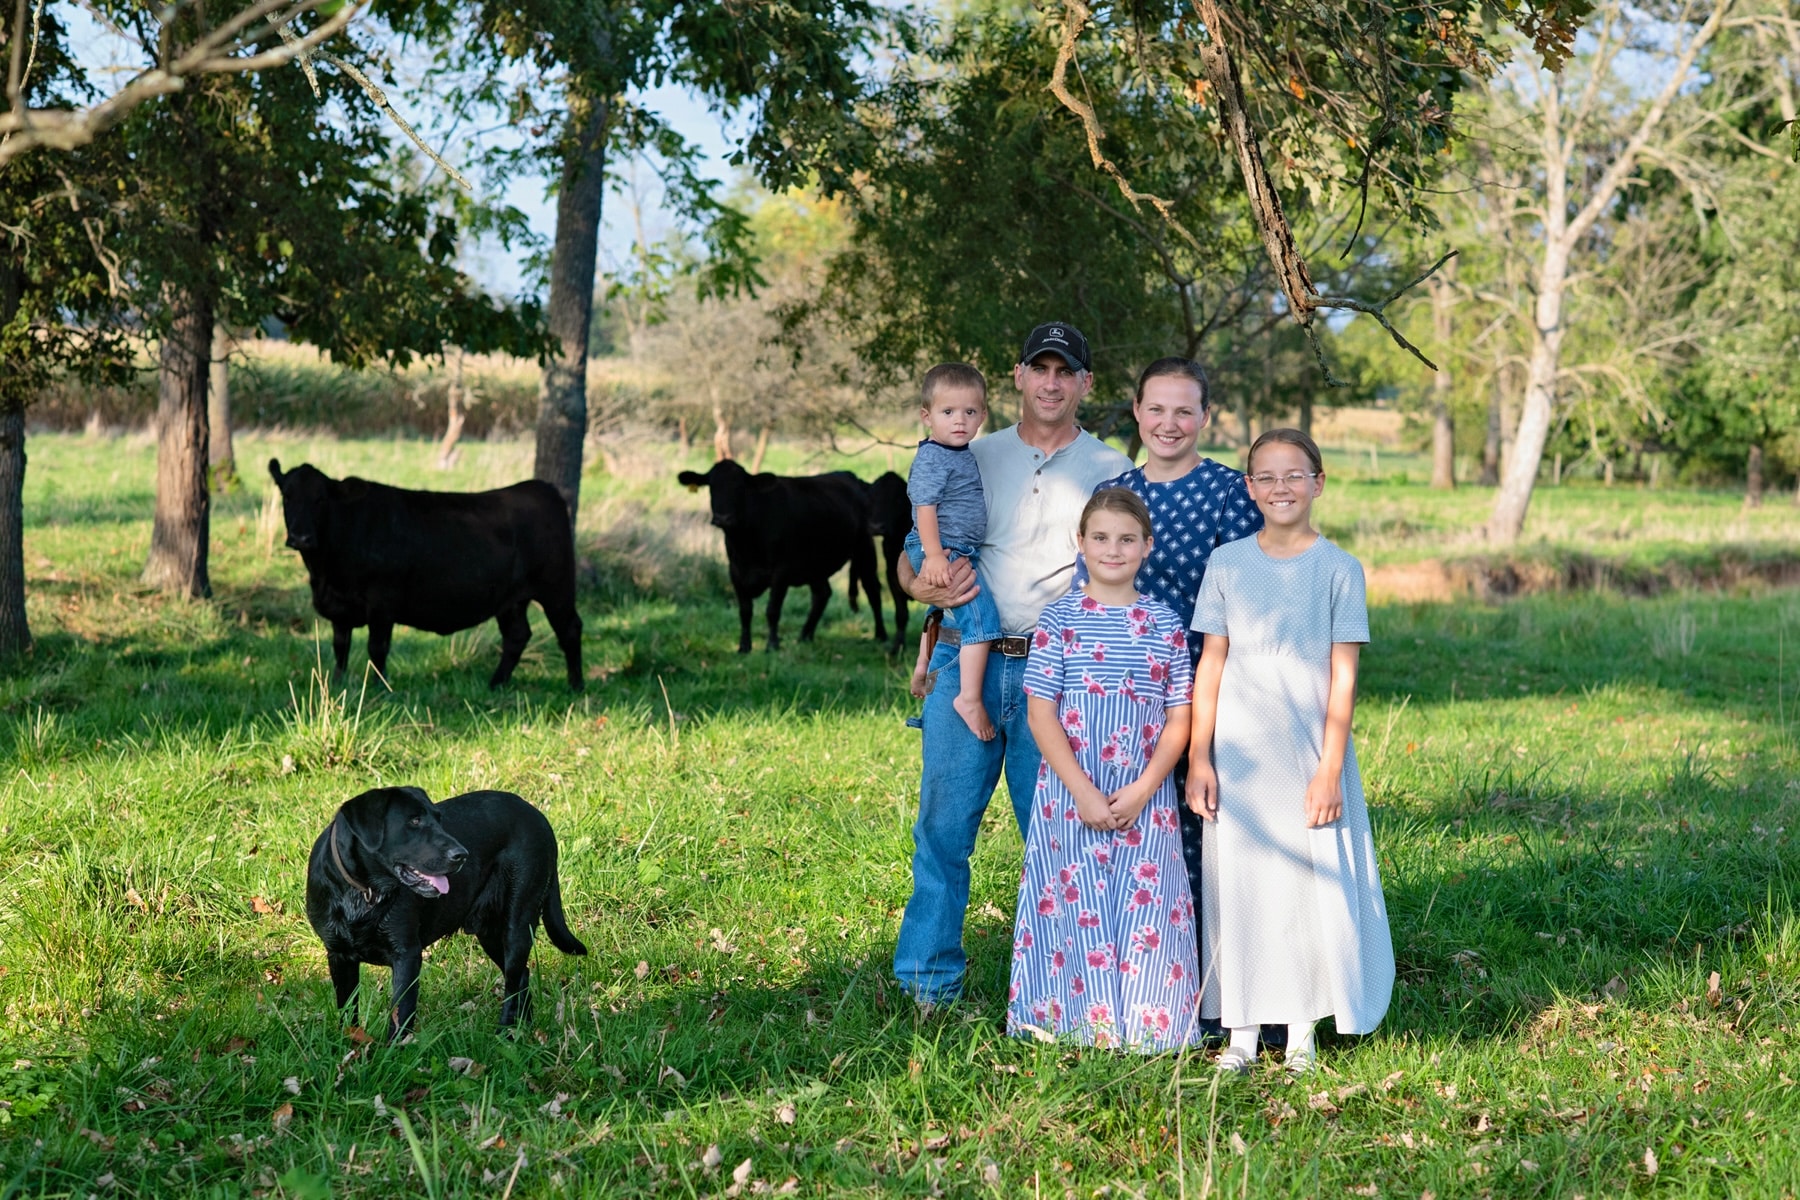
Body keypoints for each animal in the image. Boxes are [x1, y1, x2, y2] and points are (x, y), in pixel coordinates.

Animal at [266, 456, 583, 690]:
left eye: (321, 499)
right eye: (287, 496)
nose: (301, 537)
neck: (325, 573)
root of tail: (539, 488)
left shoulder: (382, 603)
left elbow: (377, 647)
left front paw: (380, 688)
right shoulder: (340, 609)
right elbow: (340, 647)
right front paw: (338, 684)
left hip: (557, 589)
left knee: (570, 629)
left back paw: (575, 686)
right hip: (510, 600)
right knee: (517, 636)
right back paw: (496, 685)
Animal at [306, 788, 586, 1043]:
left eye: (438, 819)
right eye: (414, 821)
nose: (461, 855)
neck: (363, 892)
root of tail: (538, 815)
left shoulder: (406, 955)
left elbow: (400, 1014)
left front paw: (393, 1053)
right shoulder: (339, 956)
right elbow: (347, 1010)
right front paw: (348, 1046)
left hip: (517, 924)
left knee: (513, 982)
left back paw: (505, 1035)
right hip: (491, 934)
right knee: (522, 977)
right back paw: (522, 1029)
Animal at [676, 460, 889, 651]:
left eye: (740, 487)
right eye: (712, 486)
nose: (723, 518)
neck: (746, 543)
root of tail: (851, 476)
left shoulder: (781, 571)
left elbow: (772, 610)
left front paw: (772, 645)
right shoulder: (735, 571)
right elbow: (745, 611)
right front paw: (744, 646)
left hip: (864, 547)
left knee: (872, 589)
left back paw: (881, 635)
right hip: (814, 563)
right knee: (822, 593)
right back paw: (805, 636)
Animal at [860, 471, 907, 658]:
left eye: (898, 499)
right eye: (871, 499)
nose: (876, 527)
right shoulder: (892, 576)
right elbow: (901, 614)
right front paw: (897, 649)